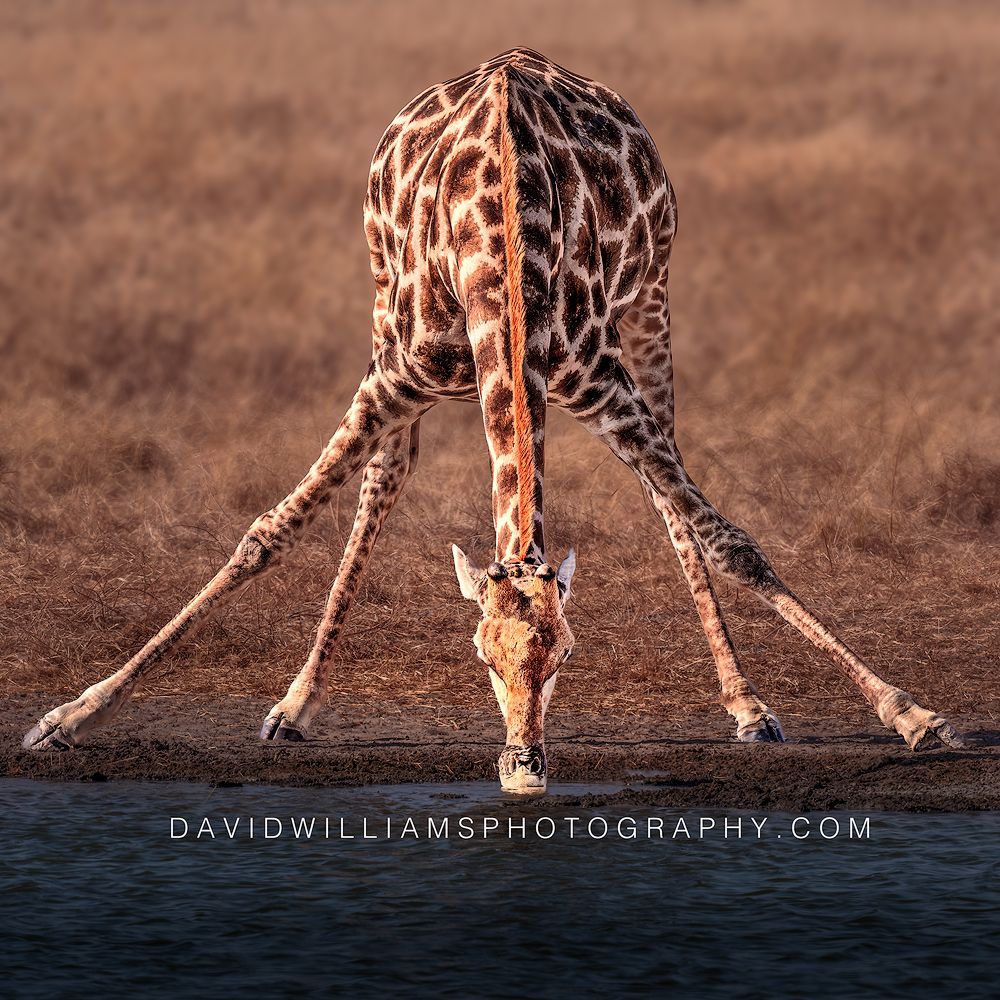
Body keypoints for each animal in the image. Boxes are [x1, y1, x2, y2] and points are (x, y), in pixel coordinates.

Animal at [24, 48, 963, 792]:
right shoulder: (393, 376)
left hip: (652, 307)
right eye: (481, 656)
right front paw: (73, 714)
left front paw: (911, 714)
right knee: (382, 482)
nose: (522, 768)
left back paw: (745, 704)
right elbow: (267, 533)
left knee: (670, 503)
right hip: (382, 309)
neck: (503, 256)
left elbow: (733, 541)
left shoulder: (599, 380)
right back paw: (294, 703)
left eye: (568, 653)